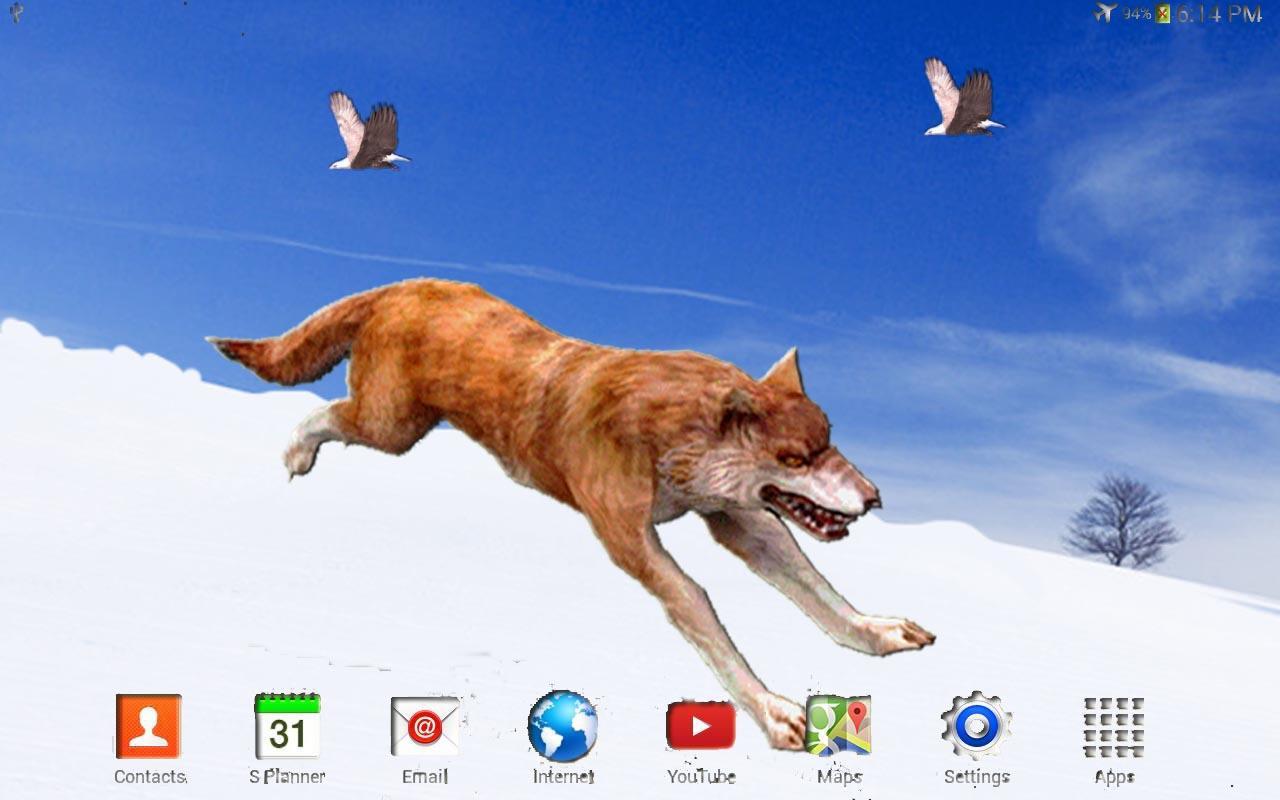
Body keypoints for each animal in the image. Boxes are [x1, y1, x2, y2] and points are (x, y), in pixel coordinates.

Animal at [208, 278, 935, 749]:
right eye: (797, 457)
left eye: (832, 441)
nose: (875, 498)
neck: (672, 435)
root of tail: (401, 285)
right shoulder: (635, 544)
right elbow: (703, 609)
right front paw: (772, 710)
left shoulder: (738, 519)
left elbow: (817, 591)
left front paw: (876, 633)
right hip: (391, 427)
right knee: (324, 413)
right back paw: (295, 451)